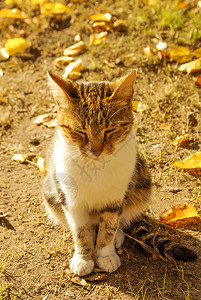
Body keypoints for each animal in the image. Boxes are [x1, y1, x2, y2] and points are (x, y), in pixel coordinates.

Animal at [42, 68, 196, 276]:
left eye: (109, 130)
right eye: (81, 131)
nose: (96, 150)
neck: (95, 167)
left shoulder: (115, 200)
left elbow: (109, 228)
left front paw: (106, 255)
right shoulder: (71, 201)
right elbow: (81, 232)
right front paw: (84, 258)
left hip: (142, 183)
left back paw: (117, 237)